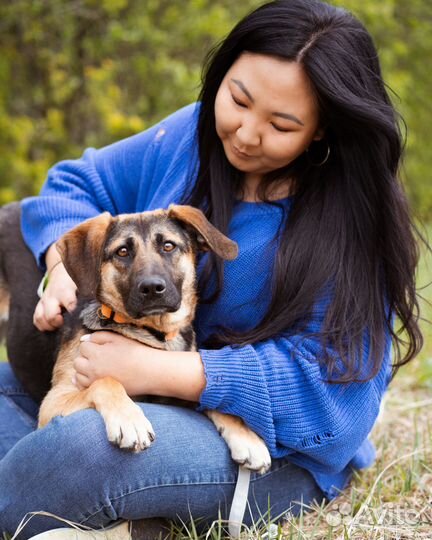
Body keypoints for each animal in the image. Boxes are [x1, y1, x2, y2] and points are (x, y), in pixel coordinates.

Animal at [0, 202, 270, 472]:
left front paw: (247, 438)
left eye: (168, 246)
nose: (152, 288)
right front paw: (128, 419)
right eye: (122, 252)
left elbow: (215, 402)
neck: (155, 333)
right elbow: (106, 381)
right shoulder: (53, 401)